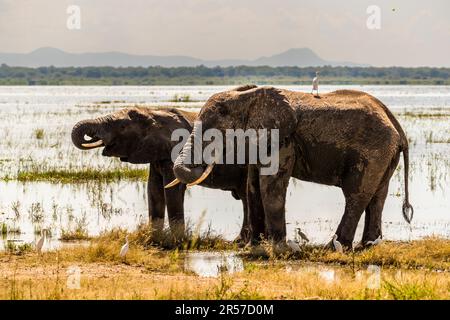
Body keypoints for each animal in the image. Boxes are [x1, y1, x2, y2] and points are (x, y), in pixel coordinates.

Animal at [72, 105, 251, 242]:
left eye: (122, 127)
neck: (152, 112)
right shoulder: (156, 153)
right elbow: (153, 190)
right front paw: (154, 240)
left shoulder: (174, 150)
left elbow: (171, 191)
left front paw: (179, 242)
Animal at [172, 85, 414, 250]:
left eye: (214, 134)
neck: (245, 98)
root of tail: (397, 125)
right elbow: (253, 187)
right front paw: (255, 247)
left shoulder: (284, 140)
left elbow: (270, 187)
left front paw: (279, 249)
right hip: (385, 154)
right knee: (378, 196)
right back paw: (367, 245)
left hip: (374, 151)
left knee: (356, 195)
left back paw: (335, 247)